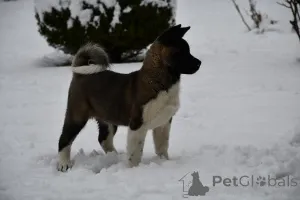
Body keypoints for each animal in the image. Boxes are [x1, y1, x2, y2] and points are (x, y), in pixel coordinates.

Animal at [56, 24, 202, 171]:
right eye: (181, 51)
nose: (199, 63)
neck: (158, 80)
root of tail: (80, 75)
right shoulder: (137, 124)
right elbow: (135, 153)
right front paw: (134, 169)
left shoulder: (164, 123)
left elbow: (162, 146)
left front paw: (163, 162)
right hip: (77, 116)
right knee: (64, 139)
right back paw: (64, 164)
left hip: (108, 118)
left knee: (104, 139)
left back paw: (114, 156)